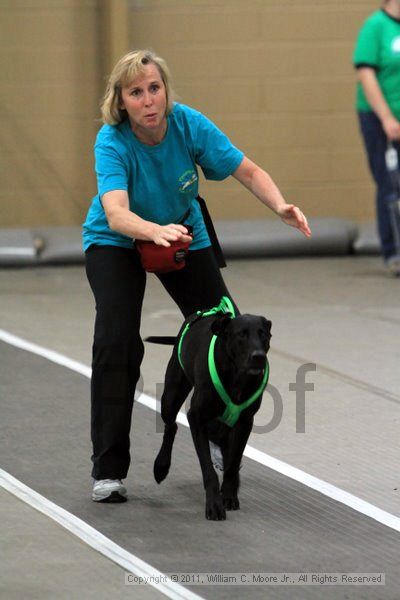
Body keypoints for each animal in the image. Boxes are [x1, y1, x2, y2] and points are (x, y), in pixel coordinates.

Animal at [152, 300, 270, 520]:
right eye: (241, 334)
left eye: (264, 334)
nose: (258, 356)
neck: (236, 377)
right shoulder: (196, 418)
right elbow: (208, 470)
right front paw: (214, 505)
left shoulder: (245, 422)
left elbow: (233, 463)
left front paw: (229, 495)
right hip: (171, 396)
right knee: (171, 426)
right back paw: (161, 466)